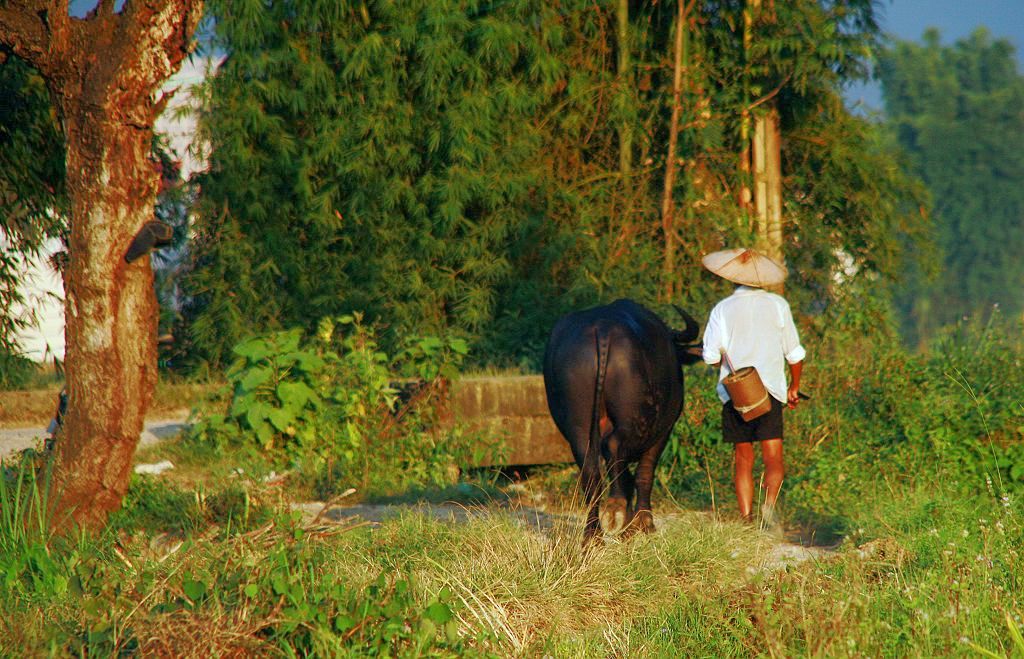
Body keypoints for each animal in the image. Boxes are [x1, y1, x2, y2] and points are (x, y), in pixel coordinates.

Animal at [544, 298, 704, 540]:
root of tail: (602, 327)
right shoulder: (664, 431)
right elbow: (644, 474)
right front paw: (644, 523)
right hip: (635, 420)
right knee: (614, 447)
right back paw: (615, 510)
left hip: (577, 424)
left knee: (590, 472)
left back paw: (593, 535)